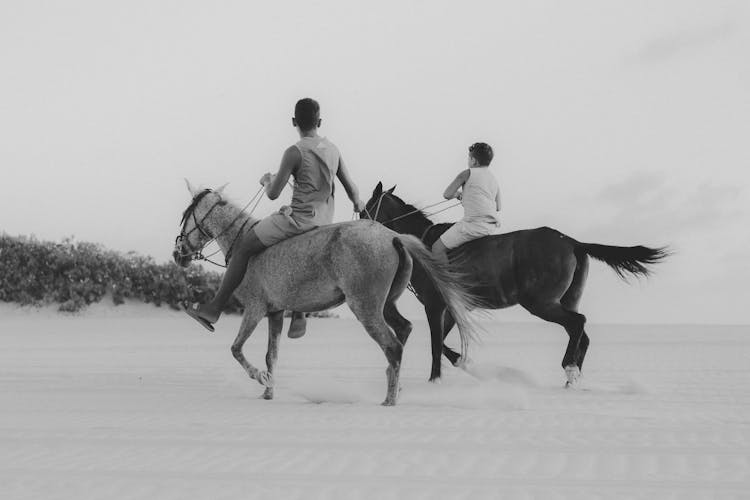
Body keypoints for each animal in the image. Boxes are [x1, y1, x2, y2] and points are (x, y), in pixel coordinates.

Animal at [174, 184, 478, 406]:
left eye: (185, 215)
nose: (179, 255)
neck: (242, 243)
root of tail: (393, 237)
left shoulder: (255, 308)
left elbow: (236, 349)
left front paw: (259, 378)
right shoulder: (275, 312)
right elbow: (271, 355)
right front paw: (268, 391)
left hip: (365, 306)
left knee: (392, 346)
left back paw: (389, 399)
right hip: (385, 304)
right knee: (403, 330)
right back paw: (395, 383)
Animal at [362, 184, 668, 386]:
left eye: (367, 207)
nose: (359, 225)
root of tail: (573, 242)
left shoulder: (435, 305)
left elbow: (436, 343)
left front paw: (435, 379)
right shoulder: (451, 307)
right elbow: (446, 344)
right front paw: (463, 362)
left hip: (541, 303)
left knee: (577, 323)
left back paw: (569, 368)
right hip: (565, 300)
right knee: (582, 332)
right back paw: (573, 377)